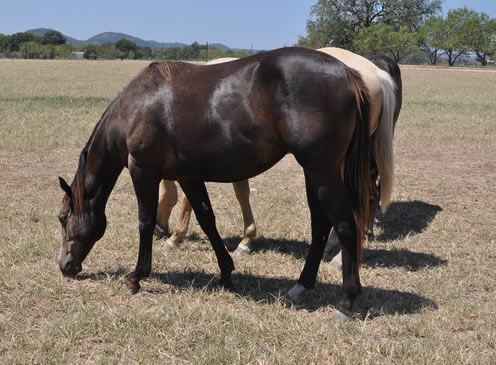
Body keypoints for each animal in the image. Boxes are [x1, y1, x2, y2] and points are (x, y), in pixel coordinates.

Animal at [157, 47, 402, 258]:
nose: (159, 229)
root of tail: (376, 73)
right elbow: (241, 193)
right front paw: (246, 240)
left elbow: (190, 198)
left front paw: (175, 237)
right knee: (369, 194)